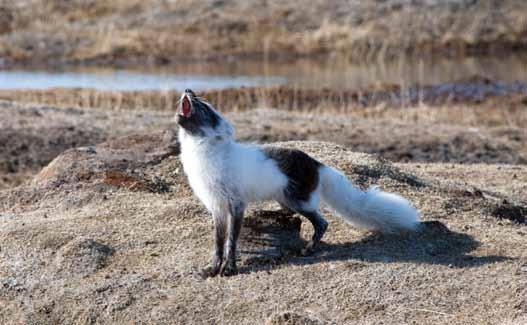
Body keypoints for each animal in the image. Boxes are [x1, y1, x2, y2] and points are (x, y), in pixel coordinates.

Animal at [176, 88, 420, 276]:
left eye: (205, 107)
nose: (188, 89)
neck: (204, 154)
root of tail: (317, 163)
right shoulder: (216, 207)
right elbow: (218, 243)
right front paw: (212, 268)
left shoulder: (236, 205)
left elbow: (231, 242)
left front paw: (230, 269)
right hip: (286, 199)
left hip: (298, 201)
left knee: (322, 223)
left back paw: (309, 250)